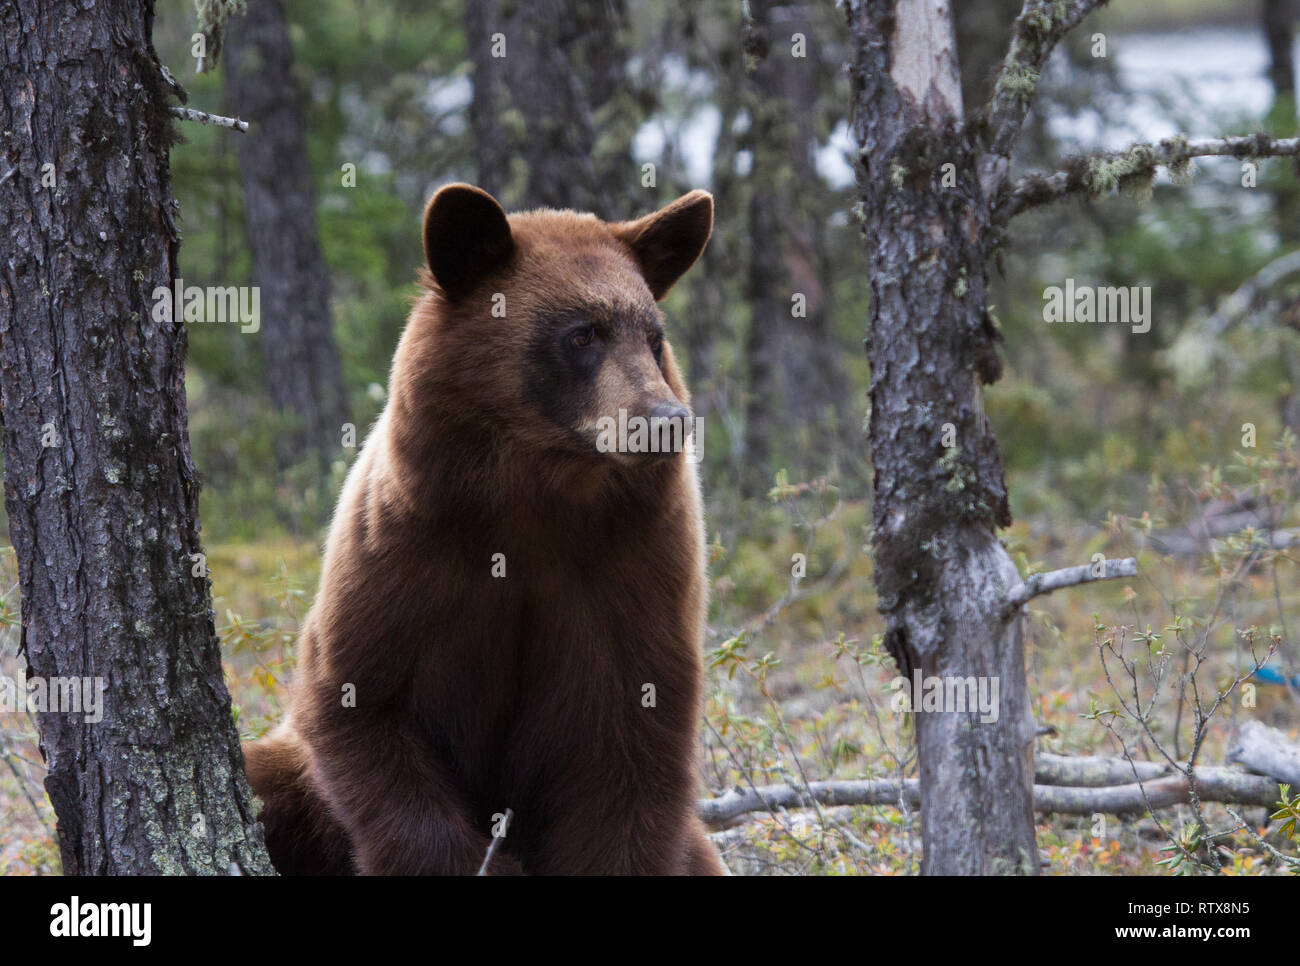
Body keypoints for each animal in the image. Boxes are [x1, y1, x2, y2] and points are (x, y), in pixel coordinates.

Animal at [241, 182, 733, 878]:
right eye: (582, 334)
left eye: (653, 335)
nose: (666, 420)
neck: (534, 500)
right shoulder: (403, 550)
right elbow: (360, 702)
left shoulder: (637, 564)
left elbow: (631, 746)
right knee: (268, 779)